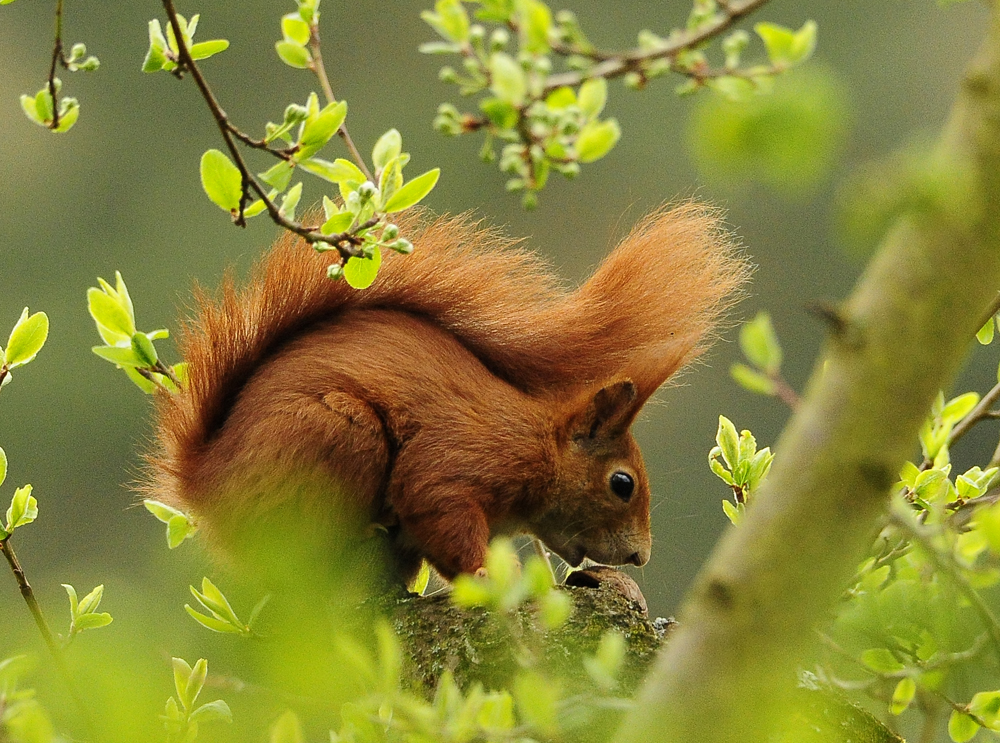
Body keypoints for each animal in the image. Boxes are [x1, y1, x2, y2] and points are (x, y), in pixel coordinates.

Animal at [145, 202, 748, 580]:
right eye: (623, 484)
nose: (640, 557)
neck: (538, 446)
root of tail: (205, 483)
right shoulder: (460, 462)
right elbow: (436, 504)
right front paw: (488, 574)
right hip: (334, 434)